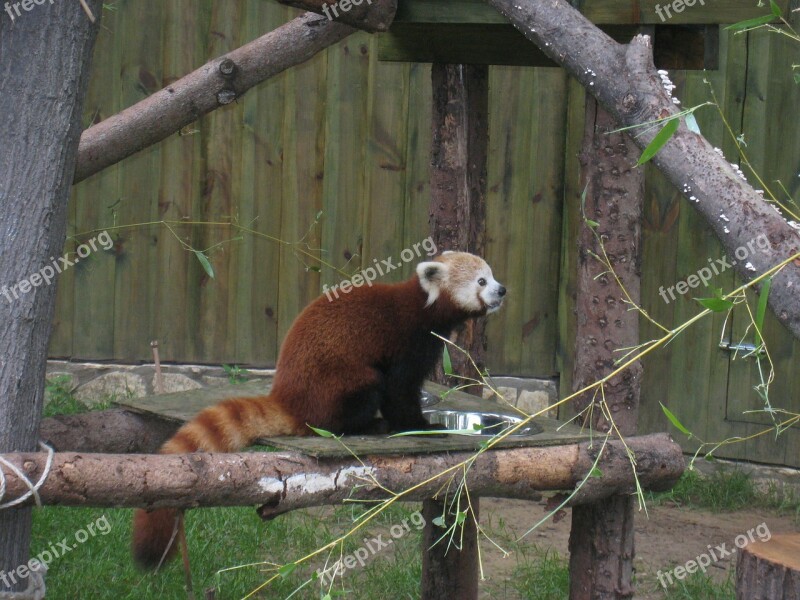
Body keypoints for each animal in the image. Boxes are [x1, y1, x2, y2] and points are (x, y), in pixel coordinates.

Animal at [131, 251, 506, 568]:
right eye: (481, 281)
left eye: (492, 275)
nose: (502, 290)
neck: (422, 307)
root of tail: (287, 395)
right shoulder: (406, 342)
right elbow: (399, 392)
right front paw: (421, 425)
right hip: (340, 382)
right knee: (362, 394)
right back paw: (367, 426)